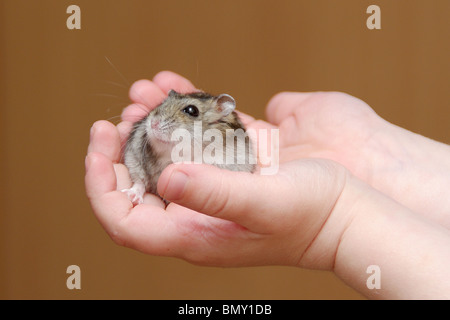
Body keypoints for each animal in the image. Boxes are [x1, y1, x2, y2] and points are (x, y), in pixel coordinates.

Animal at [121, 90, 255, 205]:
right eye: (161, 103)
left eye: (191, 110)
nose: (153, 123)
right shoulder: (134, 159)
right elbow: (140, 182)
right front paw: (130, 196)